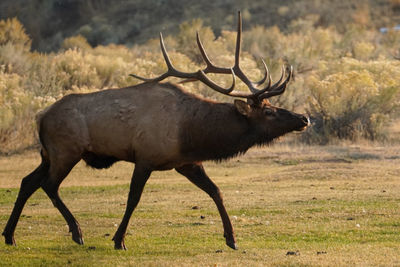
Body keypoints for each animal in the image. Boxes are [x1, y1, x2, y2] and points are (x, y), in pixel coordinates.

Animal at [2, 12, 310, 251]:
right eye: (268, 111)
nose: (304, 118)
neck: (192, 134)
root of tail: (40, 116)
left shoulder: (186, 163)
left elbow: (216, 191)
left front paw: (232, 239)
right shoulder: (145, 157)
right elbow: (133, 199)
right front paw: (119, 240)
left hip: (48, 154)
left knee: (28, 182)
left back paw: (10, 235)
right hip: (66, 150)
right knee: (48, 184)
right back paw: (76, 232)